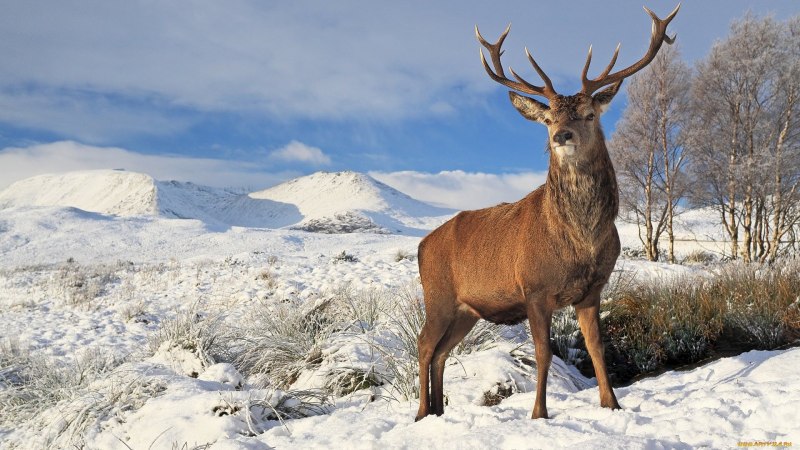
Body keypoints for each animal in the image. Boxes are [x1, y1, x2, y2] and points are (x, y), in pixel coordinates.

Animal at [415, 4, 680, 421]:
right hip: (437, 294)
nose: (561, 136)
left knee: (442, 351)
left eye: (589, 114)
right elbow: (543, 354)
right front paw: (539, 413)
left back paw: (439, 411)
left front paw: (612, 404)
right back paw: (422, 412)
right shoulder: (534, 289)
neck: (581, 241)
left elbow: (596, 348)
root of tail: (422, 246)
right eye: (548, 118)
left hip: (466, 310)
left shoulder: (592, 290)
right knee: (424, 345)